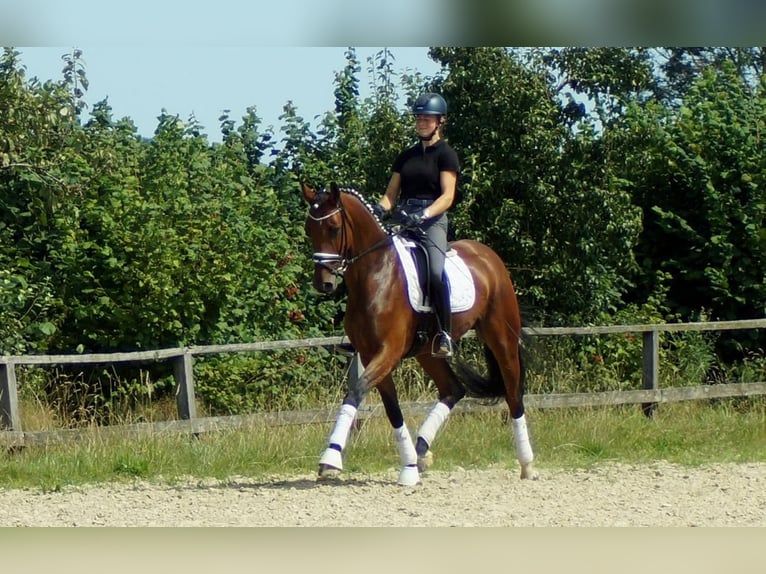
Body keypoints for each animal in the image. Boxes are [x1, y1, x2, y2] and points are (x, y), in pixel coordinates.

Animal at [304, 183, 536, 486]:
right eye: (309, 229)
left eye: (332, 228)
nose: (324, 283)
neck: (375, 274)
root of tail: (488, 256)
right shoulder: (370, 354)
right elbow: (392, 409)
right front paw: (409, 467)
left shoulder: (388, 352)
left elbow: (355, 392)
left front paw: (330, 458)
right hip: (428, 351)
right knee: (453, 389)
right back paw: (421, 451)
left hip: (501, 337)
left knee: (513, 394)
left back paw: (527, 464)